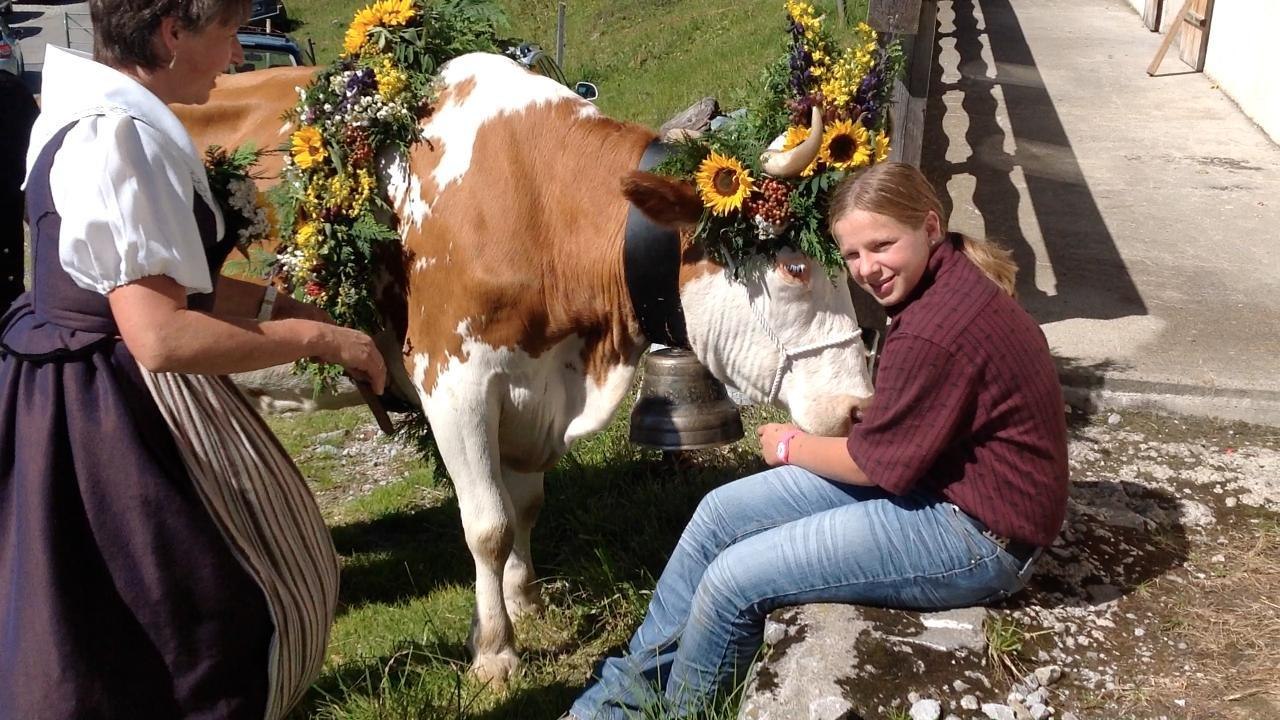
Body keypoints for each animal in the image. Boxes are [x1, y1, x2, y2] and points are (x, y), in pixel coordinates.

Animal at [175, 52, 876, 683]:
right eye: (796, 267)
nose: (857, 408)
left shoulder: (532, 389)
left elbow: (526, 506)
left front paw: (525, 600)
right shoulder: (451, 382)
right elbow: (488, 524)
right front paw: (494, 650)